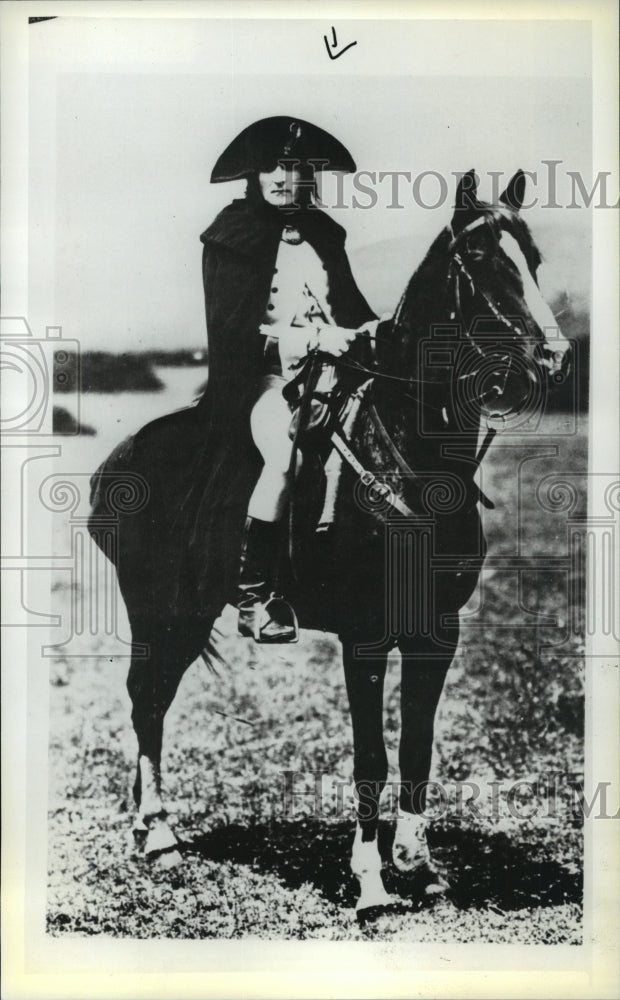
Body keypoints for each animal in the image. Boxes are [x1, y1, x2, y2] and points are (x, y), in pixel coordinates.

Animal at [89, 174, 568, 916]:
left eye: (535, 257)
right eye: (482, 260)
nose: (554, 354)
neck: (412, 456)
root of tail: (124, 453)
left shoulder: (438, 631)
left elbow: (417, 747)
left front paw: (418, 864)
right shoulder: (364, 636)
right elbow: (371, 757)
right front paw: (370, 881)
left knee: (156, 700)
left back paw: (150, 829)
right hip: (159, 608)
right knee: (146, 698)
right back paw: (160, 836)